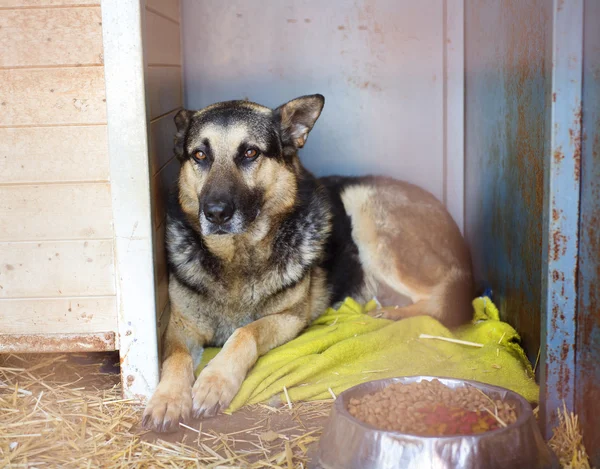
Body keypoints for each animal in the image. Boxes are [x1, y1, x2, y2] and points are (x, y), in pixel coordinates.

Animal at [142, 94, 474, 432]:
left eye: (250, 152)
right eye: (199, 155)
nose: (216, 213)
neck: (238, 256)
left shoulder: (289, 318)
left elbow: (244, 333)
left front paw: (214, 381)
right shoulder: (180, 327)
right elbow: (176, 359)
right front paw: (168, 398)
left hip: (364, 209)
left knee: (444, 298)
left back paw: (395, 315)